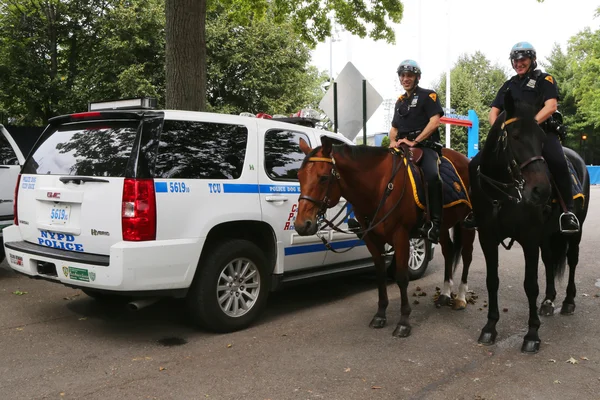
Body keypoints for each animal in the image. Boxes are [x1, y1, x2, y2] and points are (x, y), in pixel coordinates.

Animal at [292, 138, 476, 338]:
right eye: (299, 176)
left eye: (323, 178)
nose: (302, 224)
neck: (379, 186)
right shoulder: (372, 239)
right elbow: (380, 275)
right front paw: (380, 314)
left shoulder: (401, 236)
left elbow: (402, 277)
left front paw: (404, 322)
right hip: (441, 227)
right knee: (449, 251)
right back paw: (444, 294)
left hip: (467, 223)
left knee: (467, 256)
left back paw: (460, 297)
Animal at [468, 91, 592, 354]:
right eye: (514, 136)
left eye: (542, 139)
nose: (541, 190)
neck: (503, 193)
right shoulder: (487, 238)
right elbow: (492, 281)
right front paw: (490, 327)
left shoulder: (529, 238)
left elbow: (530, 284)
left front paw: (532, 334)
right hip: (547, 235)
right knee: (550, 260)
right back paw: (549, 301)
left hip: (574, 232)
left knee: (572, 260)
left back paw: (568, 301)